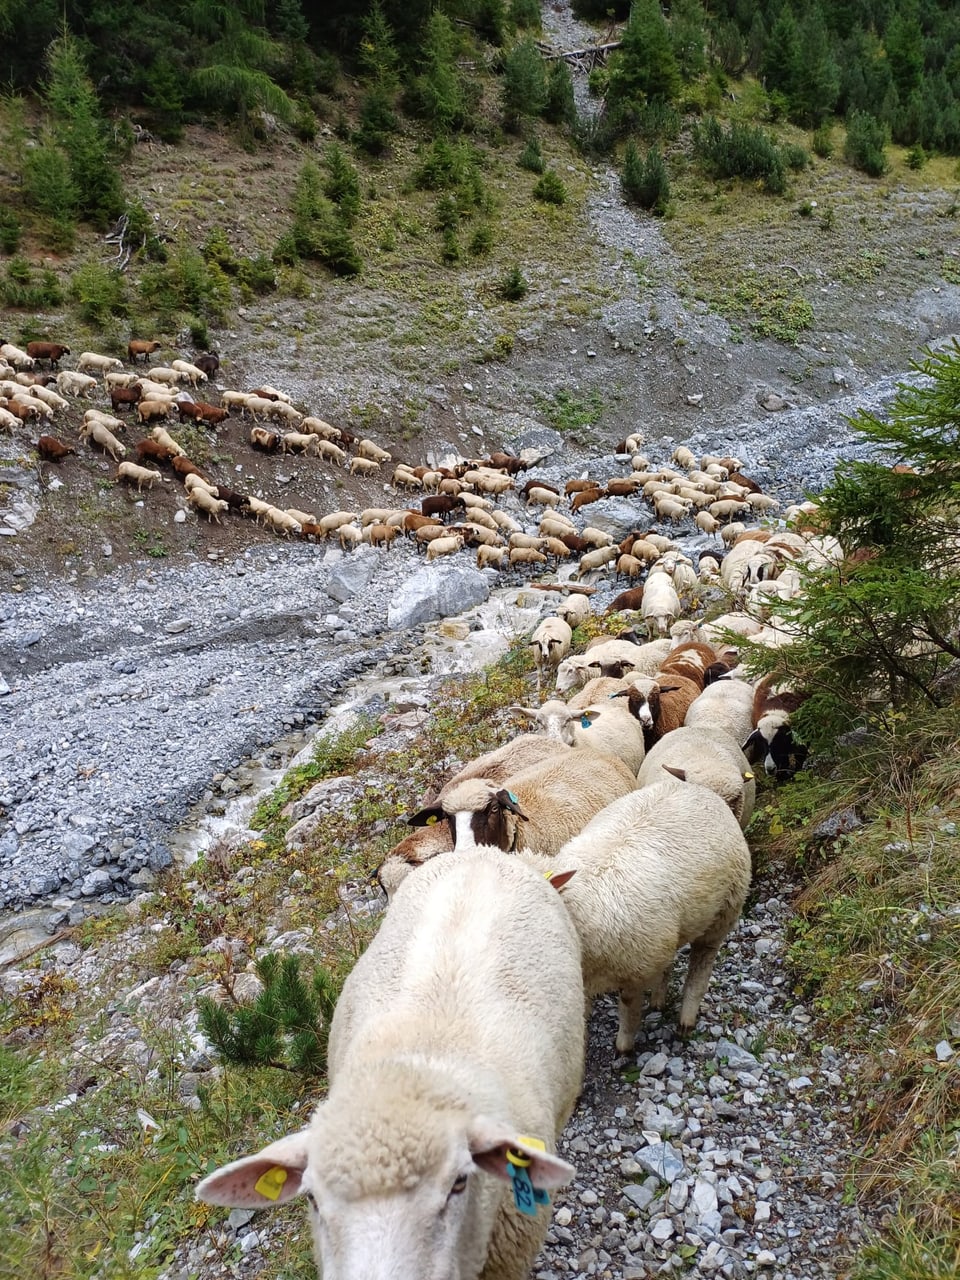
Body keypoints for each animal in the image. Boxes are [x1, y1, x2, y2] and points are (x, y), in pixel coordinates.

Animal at [522, 778, 757, 1049]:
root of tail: (699, 788)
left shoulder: (635, 973)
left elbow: (628, 1009)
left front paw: (624, 1046)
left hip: (723, 913)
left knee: (702, 963)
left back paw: (686, 1019)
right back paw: (659, 999)